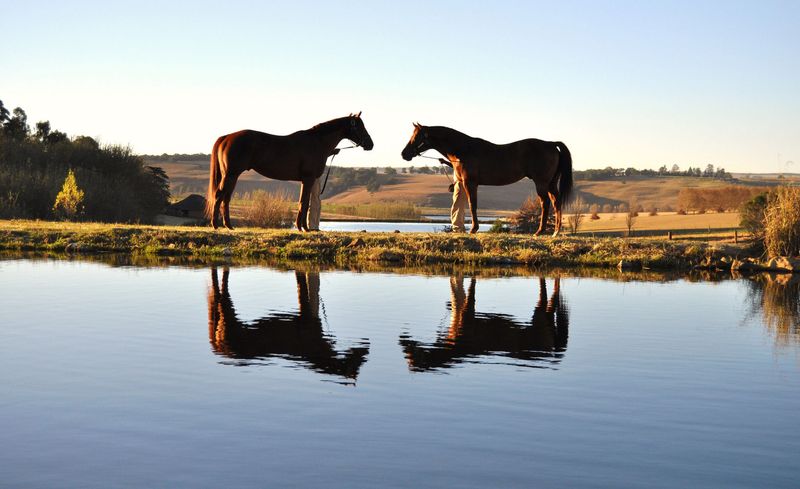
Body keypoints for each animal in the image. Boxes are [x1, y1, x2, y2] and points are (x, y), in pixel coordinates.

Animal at [205, 112, 374, 230]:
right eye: (359, 126)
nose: (370, 144)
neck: (317, 143)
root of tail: (226, 137)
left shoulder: (306, 180)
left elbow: (304, 202)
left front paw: (303, 227)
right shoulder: (308, 178)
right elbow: (304, 202)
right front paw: (303, 228)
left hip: (232, 176)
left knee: (226, 198)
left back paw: (228, 226)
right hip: (230, 175)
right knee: (219, 195)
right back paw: (216, 225)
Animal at [401, 123, 573, 235]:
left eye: (417, 137)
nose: (404, 154)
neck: (464, 149)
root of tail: (551, 144)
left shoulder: (470, 183)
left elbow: (472, 206)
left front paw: (473, 229)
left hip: (541, 183)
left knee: (545, 203)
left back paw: (540, 231)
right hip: (551, 183)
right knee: (556, 202)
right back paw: (556, 231)